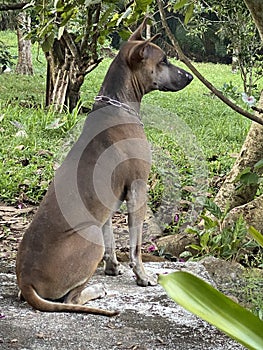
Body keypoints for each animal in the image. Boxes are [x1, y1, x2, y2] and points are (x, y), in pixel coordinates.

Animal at [16, 17, 194, 316]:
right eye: (164, 60)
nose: (190, 76)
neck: (118, 105)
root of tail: (25, 280)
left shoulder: (109, 201)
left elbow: (111, 236)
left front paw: (113, 267)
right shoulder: (138, 189)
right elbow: (135, 246)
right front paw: (142, 275)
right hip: (89, 237)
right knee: (71, 299)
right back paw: (96, 290)